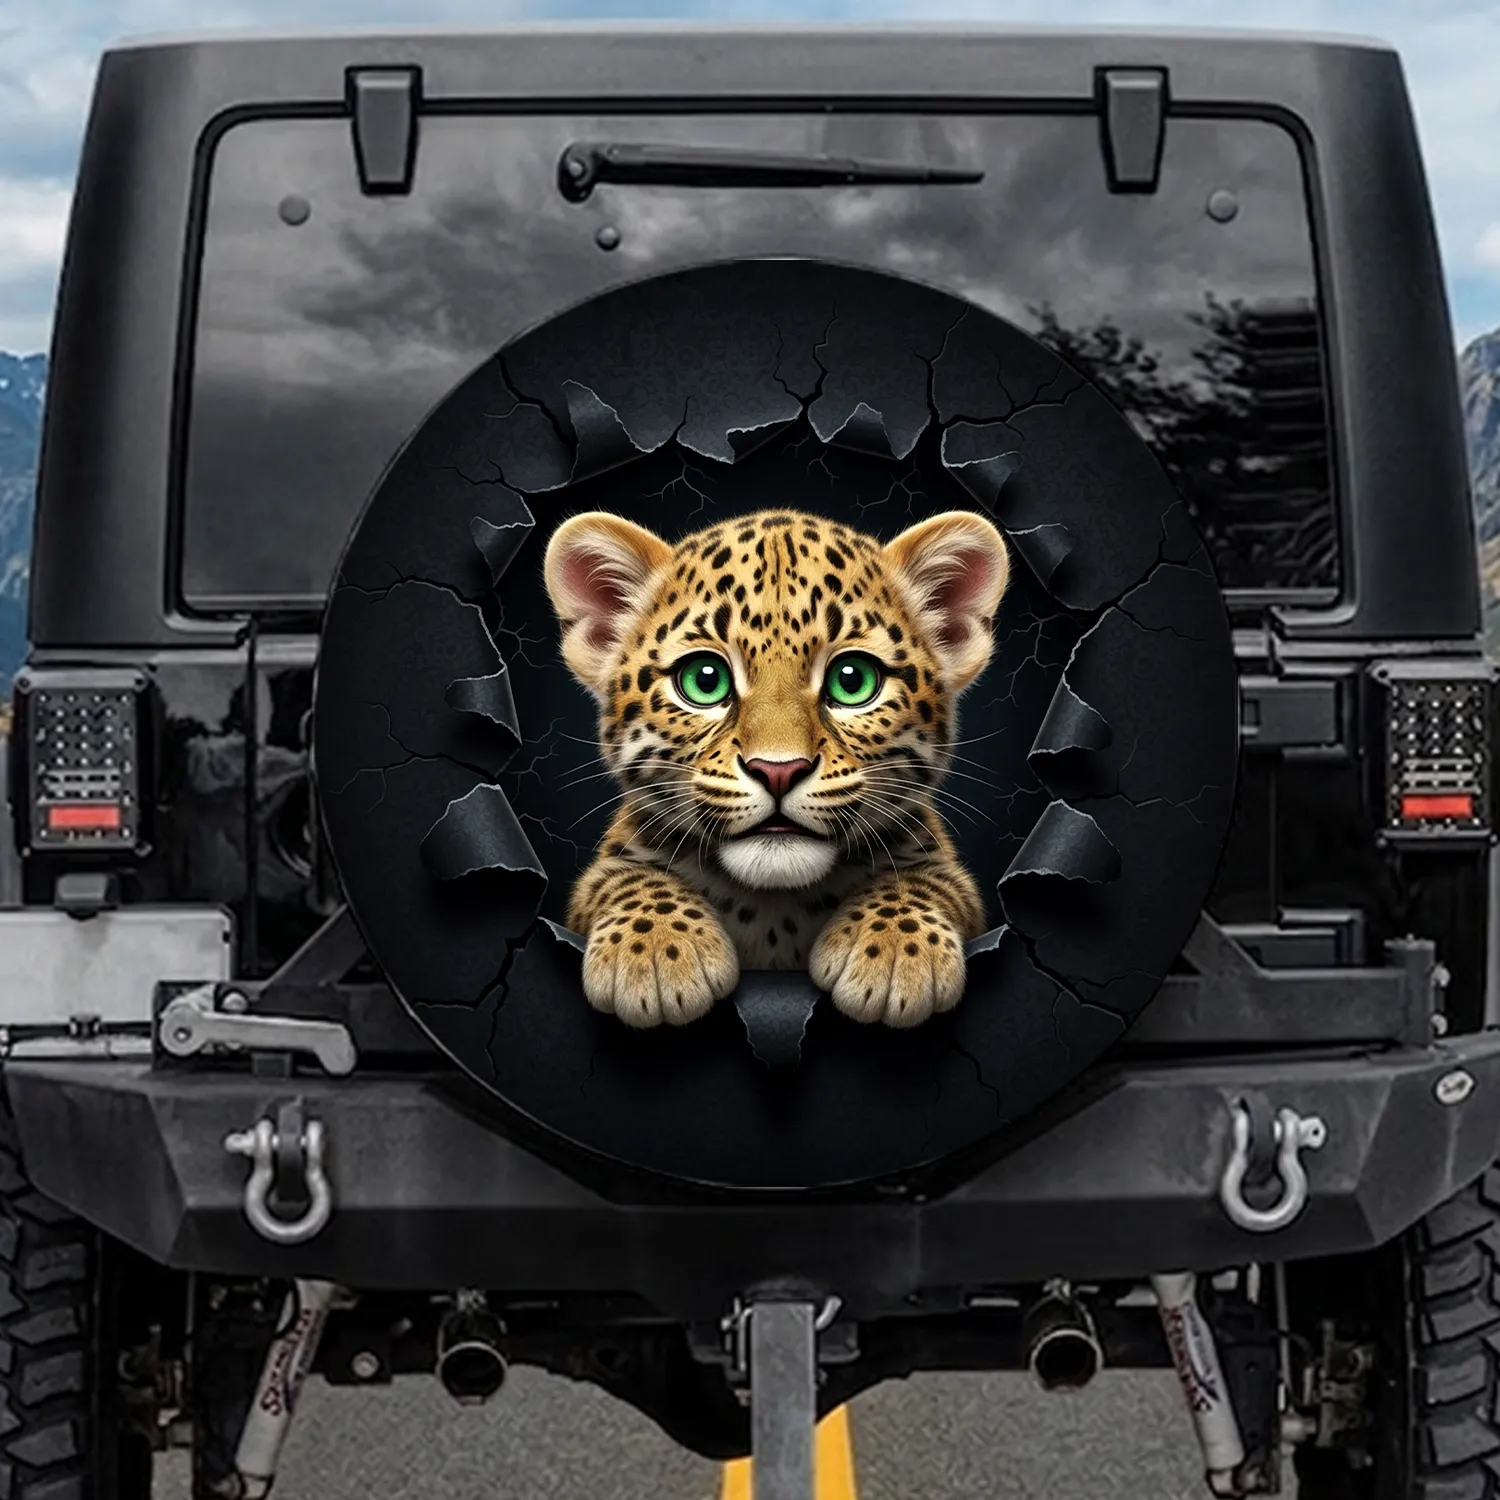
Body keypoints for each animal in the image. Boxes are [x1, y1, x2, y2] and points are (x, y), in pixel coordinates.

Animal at [542, 505, 1011, 1030]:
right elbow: (620, 874)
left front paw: (895, 948)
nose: (778, 771)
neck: (773, 908)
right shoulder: (600, 876)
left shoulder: (950, 877)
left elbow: (928, 876)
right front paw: (656, 950)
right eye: (704, 680)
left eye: (853, 681)